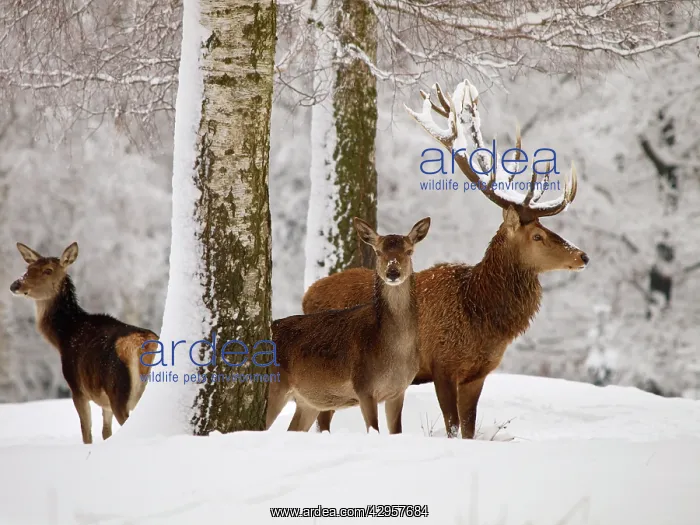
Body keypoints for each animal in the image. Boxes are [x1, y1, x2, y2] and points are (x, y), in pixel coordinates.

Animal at [10, 242, 158, 444]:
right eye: (28, 268)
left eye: (48, 270)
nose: (15, 284)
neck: (63, 337)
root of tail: (147, 343)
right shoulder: (105, 401)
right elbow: (105, 432)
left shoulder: (76, 387)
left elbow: (86, 432)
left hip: (119, 390)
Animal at [266, 216, 431, 434]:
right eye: (378, 251)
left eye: (409, 251)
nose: (393, 272)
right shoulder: (364, 387)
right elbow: (373, 429)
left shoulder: (398, 390)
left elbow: (396, 431)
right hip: (273, 386)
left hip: (308, 402)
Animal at [303, 80, 589, 439]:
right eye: (537, 235)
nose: (583, 255)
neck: (479, 316)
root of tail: (307, 294)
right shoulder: (442, 365)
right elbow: (452, 427)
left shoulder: (477, 374)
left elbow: (468, 429)